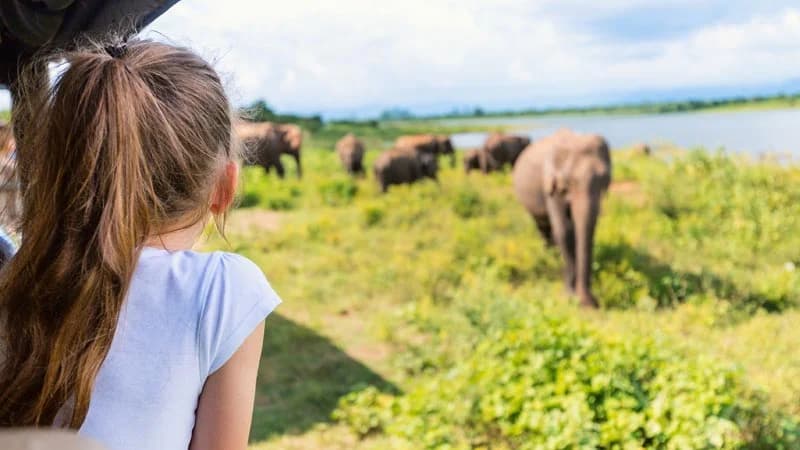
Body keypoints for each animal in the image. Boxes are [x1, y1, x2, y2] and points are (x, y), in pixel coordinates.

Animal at [512, 129, 612, 308]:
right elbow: (564, 230)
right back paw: (550, 254)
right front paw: (570, 295)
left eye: (605, 179)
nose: (592, 303)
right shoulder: (550, 183)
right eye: (570, 181)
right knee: (543, 226)